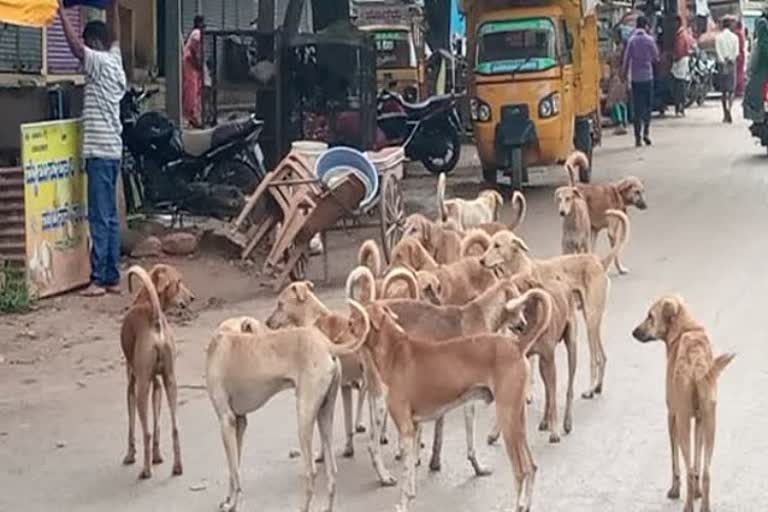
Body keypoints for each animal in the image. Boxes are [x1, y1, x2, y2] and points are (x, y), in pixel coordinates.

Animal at [120, 264, 194, 480]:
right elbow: (158, 423)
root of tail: (155, 319)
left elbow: (132, 425)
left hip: (141, 389)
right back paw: (177, 467)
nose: (192, 298)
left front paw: (130, 455)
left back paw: (146, 470)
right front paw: (157, 456)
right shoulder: (159, 384)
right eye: (178, 282)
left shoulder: (133, 383)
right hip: (171, 383)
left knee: (146, 432)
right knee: (175, 428)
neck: (146, 300)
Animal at [207, 300, 368, 512]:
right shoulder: (239, 423)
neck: (223, 338)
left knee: (311, 471)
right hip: (324, 415)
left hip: (304, 418)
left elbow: (234, 471)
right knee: (332, 471)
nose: (271, 327)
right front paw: (228, 499)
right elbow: (234, 469)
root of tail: (327, 345)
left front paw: (232, 504)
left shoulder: (226, 421)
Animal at [362, 288, 552, 512]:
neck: (396, 350)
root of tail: (516, 344)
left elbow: (408, 475)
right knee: (532, 467)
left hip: (508, 420)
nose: (523, 324)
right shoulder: (415, 426)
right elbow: (410, 475)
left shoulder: (412, 427)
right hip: (516, 420)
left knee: (522, 470)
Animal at [476, 230, 616, 398]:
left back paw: (589, 388)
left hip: (590, 320)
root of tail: (599, 262)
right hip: (592, 321)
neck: (517, 269)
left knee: (594, 358)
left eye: (497, 245)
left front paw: (527, 394)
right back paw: (597, 386)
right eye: (489, 244)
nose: (481, 261)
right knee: (603, 356)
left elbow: (530, 364)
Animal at [632, 296, 736, 512]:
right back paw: (704, 505)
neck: (685, 329)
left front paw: (674, 490)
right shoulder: (699, 421)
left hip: (682, 423)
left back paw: (688, 506)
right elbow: (697, 463)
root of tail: (696, 364)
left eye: (650, 316)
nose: (634, 332)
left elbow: (675, 463)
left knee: (687, 469)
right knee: (706, 472)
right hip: (711, 424)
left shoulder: (672, 416)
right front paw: (697, 493)